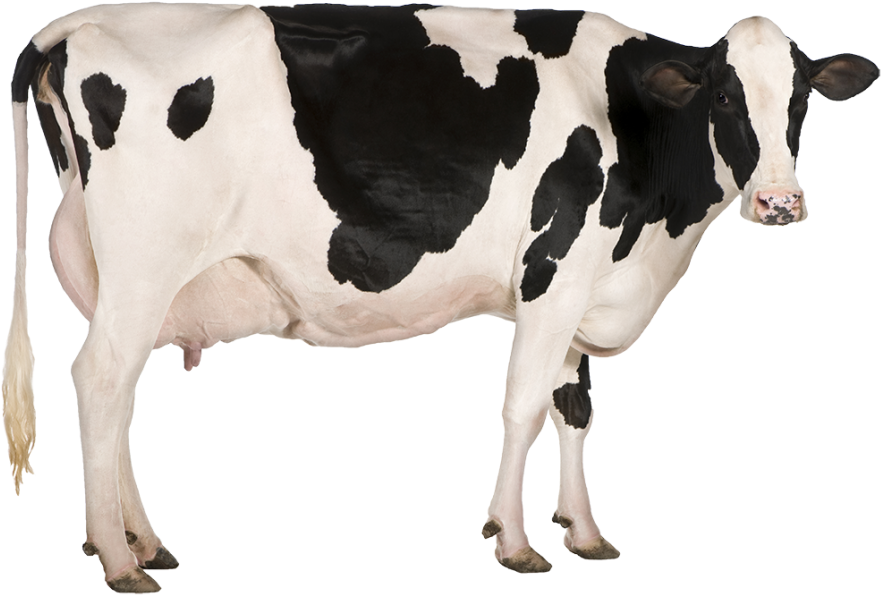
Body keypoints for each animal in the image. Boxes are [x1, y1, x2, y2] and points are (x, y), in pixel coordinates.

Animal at [4, 3, 878, 591]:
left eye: (801, 101)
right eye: (724, 97)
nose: (779, 202)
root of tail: (80, 24)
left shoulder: (581, 288)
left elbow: (575, 408)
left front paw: (583, 529)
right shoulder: (552, 270)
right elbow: (523, 405)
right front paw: (514, 539)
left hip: (122, 279)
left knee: (117, 393)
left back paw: (140, 539)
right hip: (144, 262)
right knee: (101, 380)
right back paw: (118, 557)